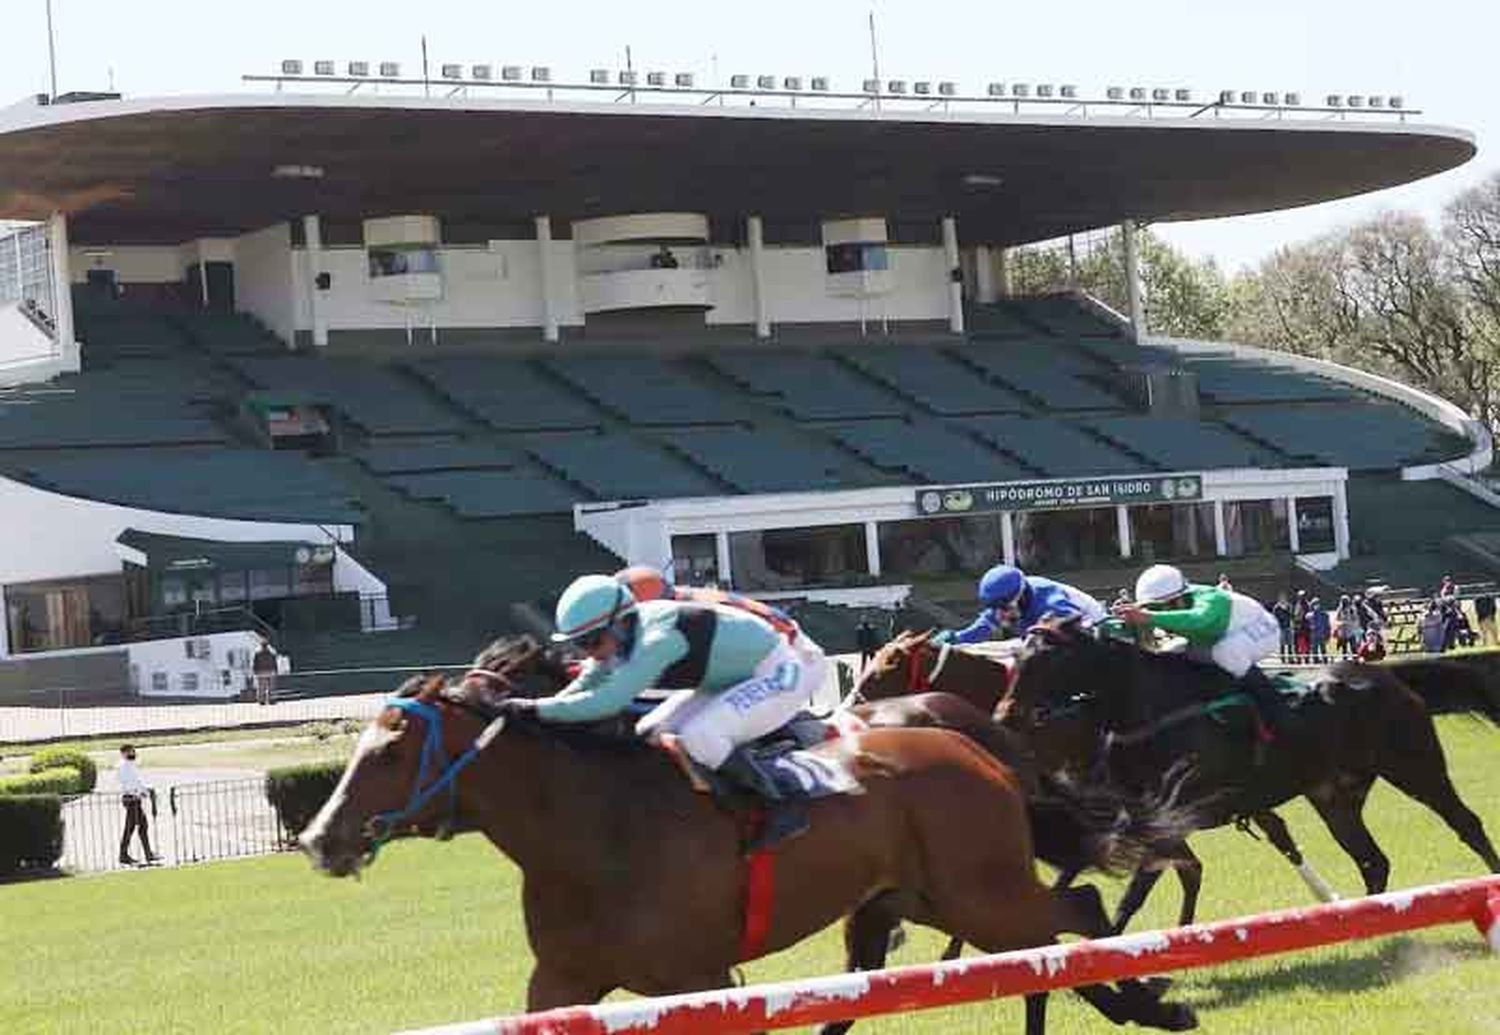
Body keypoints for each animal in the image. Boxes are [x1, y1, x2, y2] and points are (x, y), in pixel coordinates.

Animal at [301, 633, 1194, 1026]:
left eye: (390, 748)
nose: (318, 837)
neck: (595, 836)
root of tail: (976, 748)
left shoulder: (696, 978)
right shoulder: (562, 980)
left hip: (980, 890)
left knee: (1072, 918)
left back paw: (1151, 1001)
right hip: (923, 896)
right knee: (1037, 941)